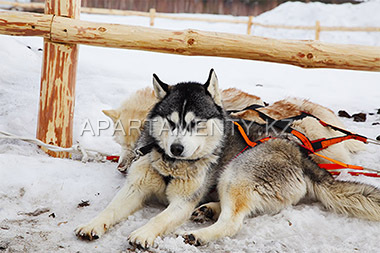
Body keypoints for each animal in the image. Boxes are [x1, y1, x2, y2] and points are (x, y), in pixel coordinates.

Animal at [75, 69, 378, 249]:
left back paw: (201, 232)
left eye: (195, 123)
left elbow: (161, 218)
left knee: (234, 221)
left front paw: (145, 232)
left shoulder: (182, 202)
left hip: (236, 172)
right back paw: (210, 209)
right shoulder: (135, 188)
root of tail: (301, 154)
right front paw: (92, 224)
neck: (171, 165)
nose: (176, 148)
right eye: (171, 122)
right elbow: (110, 210)